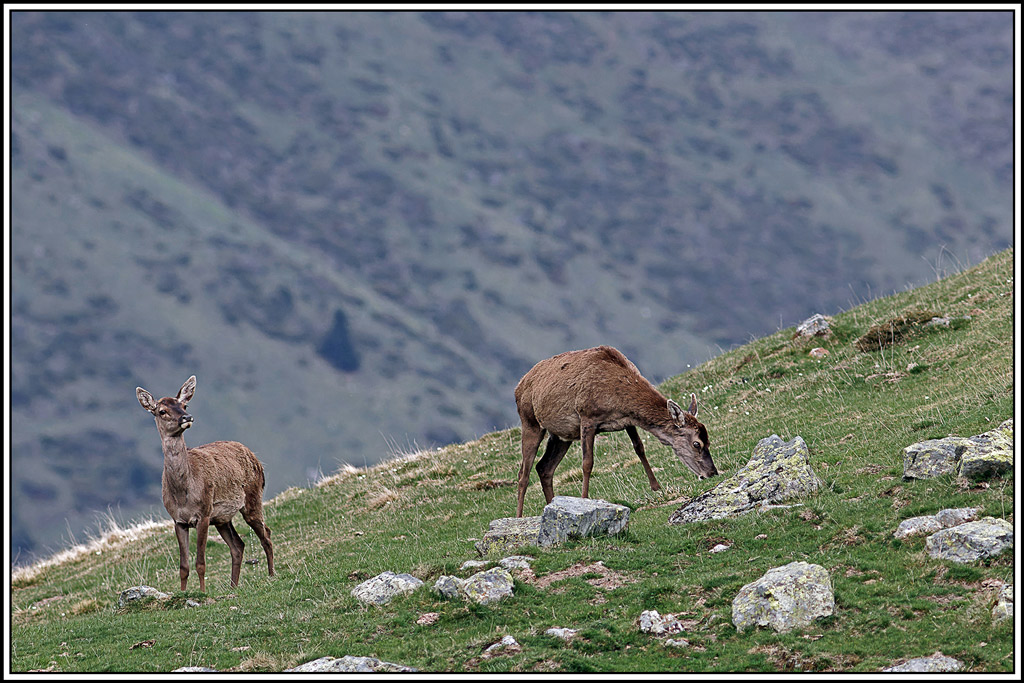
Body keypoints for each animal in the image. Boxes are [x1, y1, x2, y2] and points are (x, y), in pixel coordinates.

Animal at [136, 376, 274, 592]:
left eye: (184, 405)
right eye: (162, 411)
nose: (186, 417)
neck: (183, 494)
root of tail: (256, 459)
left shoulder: (203, 514)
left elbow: (200, 562)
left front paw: (202, 592)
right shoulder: (178, 521)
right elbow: (183, 566)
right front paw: (182, 593)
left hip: (252, 498)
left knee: (266, 534)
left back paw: (272, 575)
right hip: (222, 518)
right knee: (238, 546)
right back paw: (233, 586)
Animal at [514, 346, 718, 517]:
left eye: (709, 441)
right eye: (697, 443)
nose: (712, 472)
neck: (618, 398)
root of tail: (518, 386)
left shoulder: (628, 421)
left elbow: (639, 448)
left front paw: (656, 487)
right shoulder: (587, 416)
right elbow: (587, 463)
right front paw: (584, 499)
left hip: (562, 435)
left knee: (544, 468)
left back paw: (553, 505)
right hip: (530, 421)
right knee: (523, 473)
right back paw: (519, 516)